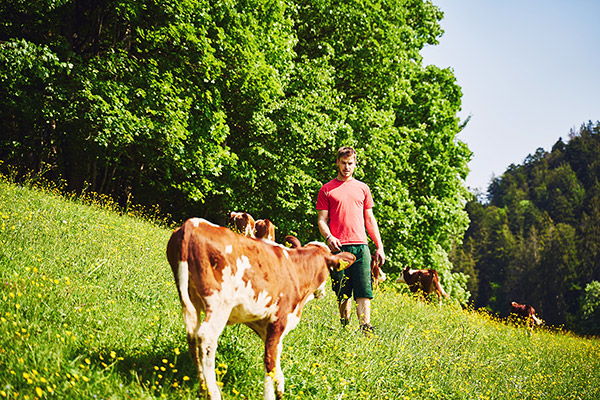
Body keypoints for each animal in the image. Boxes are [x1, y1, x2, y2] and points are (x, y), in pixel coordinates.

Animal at [166, 219, 356, 400]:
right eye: (330, 270)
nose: (322, 293)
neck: (296, 271)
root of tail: (192, 225)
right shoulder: (279, 320)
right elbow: (270, 362)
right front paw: (271, 394)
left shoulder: (264, 323)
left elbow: (277, 354)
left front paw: (280, 387)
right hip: (219, 303)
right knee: (206, 338)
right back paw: (213, 393)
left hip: (191, 299)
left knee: (192, 337)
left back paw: (202, 388)